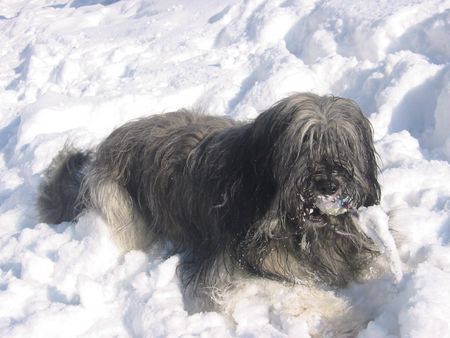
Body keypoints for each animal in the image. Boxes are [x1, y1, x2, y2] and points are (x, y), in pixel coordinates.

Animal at [37, 93, 380, 306]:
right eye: (304, 144)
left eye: (344, 143)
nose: (329, 185)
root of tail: (105, 146)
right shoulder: (233, 266)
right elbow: (299, 291)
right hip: (119, 205)